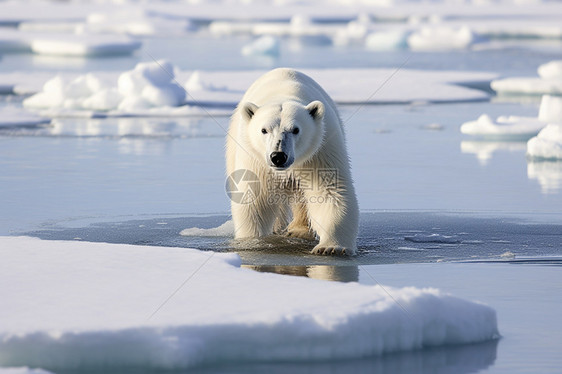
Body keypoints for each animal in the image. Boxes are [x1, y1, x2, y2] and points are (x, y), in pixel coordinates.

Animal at [224, 68, 358, 256]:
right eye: (264, 130)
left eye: (296, 130)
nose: (278, 156)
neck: (284, 92)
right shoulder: (255, 159)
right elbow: (255, 197)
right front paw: (252, 242)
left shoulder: (320, 149)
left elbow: (329, 191)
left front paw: (331, 247)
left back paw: (298, 230)